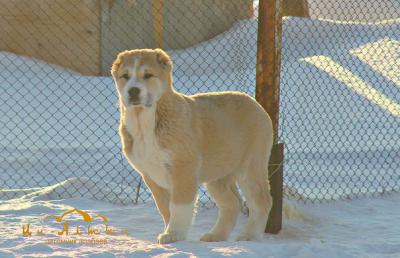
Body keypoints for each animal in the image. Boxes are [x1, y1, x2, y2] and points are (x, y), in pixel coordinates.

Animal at [112, 49, 276, 244]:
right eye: (125, 76)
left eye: (148, 75)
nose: (133, 90)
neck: (145, 123)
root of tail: (255, 103)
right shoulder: (150, 175)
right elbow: (165, 208)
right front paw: (171, 232)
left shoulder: (183, 169)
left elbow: (179, 206)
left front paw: (174, 234)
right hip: (217, 175)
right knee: (232, 203)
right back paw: (216, 236)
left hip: (251, 166)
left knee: (262, 201)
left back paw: (249, 236)